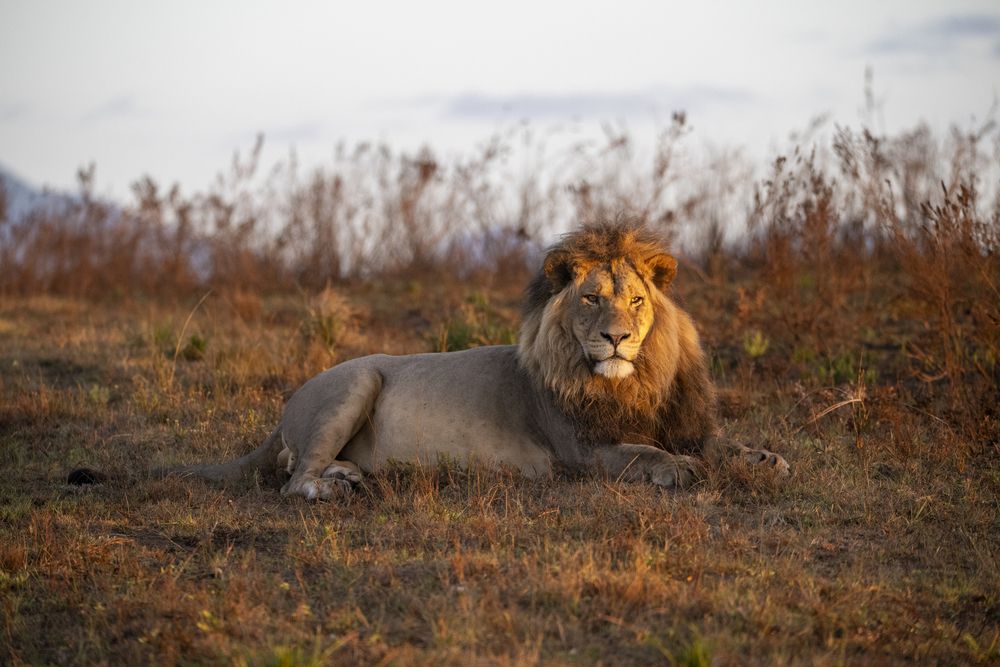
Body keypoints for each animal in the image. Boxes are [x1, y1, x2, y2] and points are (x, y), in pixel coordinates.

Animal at [72, 222, 788, 497]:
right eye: (590, 300)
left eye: (637, 301)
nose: (615, 339)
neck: (630, 383)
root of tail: (281, 414)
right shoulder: (581, 452)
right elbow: (649, 456)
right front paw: (680, 470)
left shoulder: (680, 420)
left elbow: (719, 445)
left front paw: (765, 459)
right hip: (355, 380)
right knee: (292, 480)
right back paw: (335, 487)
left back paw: (347, 475)